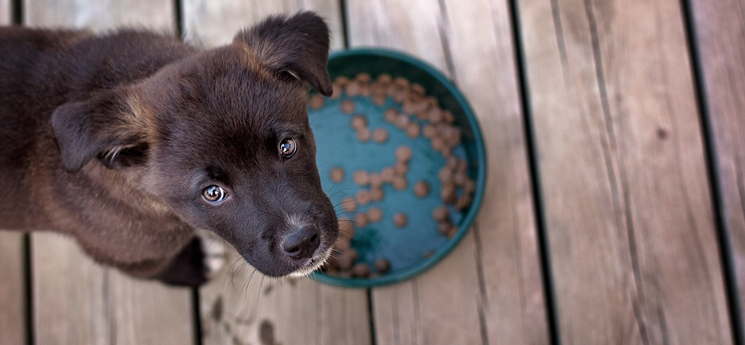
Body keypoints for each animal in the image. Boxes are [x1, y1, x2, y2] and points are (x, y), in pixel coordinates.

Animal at [0, 11, 338, 284]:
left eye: (287, 146)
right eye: (212, 193)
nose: (302, 241)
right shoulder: (122, 253)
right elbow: (157, 269)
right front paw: (195, 266)